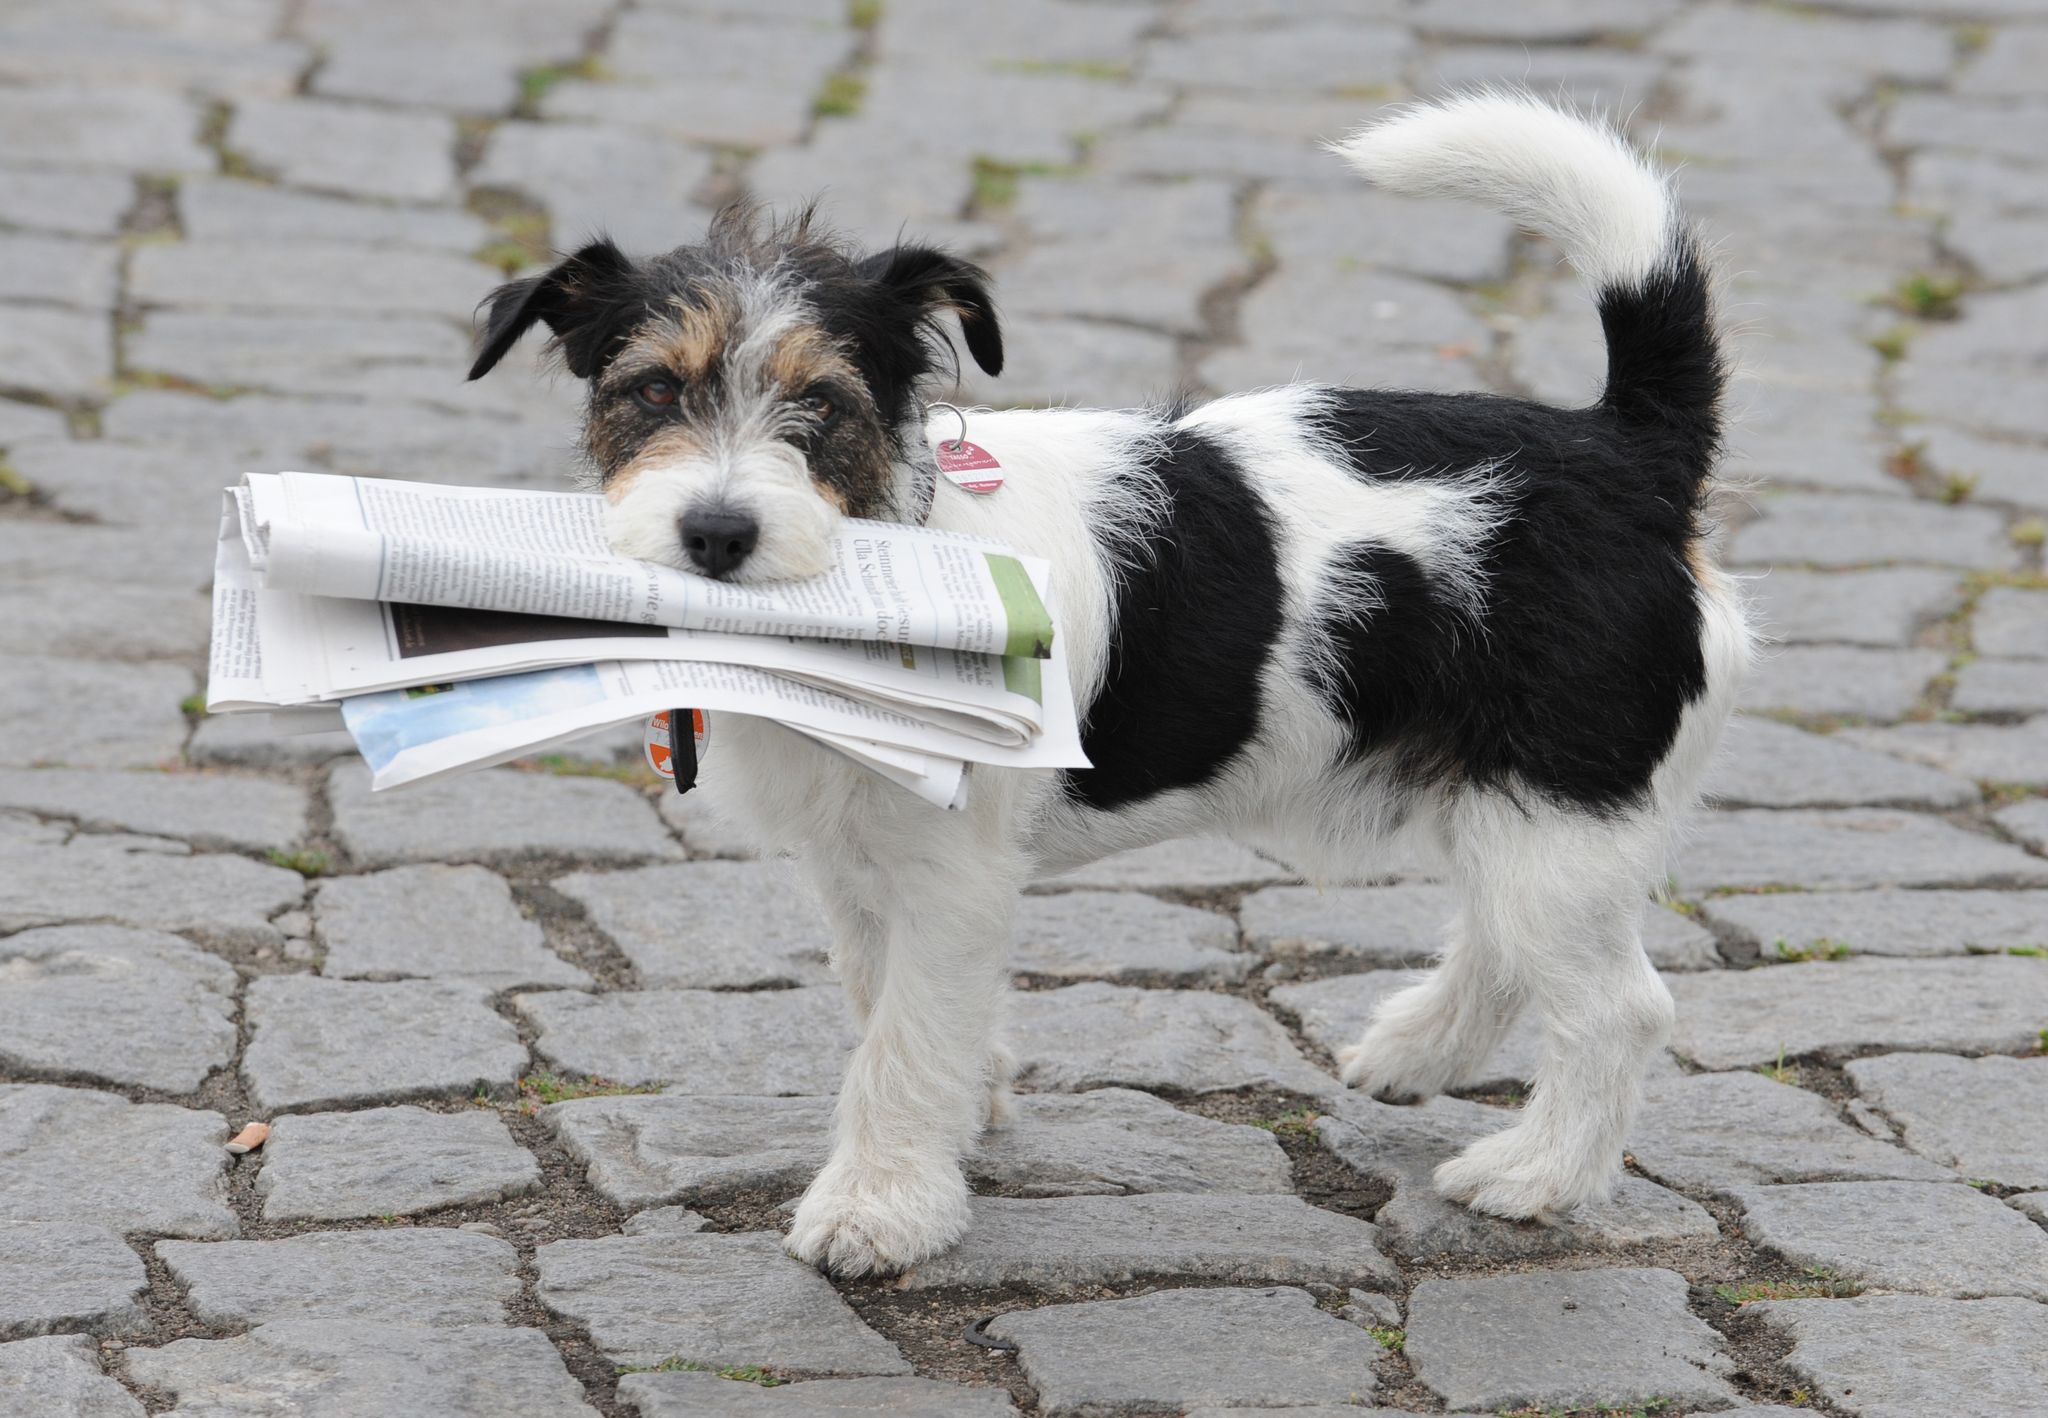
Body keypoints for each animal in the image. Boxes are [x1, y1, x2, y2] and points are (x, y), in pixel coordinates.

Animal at [471, 94, 1753, 1278]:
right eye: (649, 391)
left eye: (820, 403)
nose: (717, 531)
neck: (887, 545)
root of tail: (1624, 451)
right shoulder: (855, 858)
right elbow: (885, 998)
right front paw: (961, 1110)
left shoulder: (949, 873)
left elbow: (901, 1042)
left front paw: (880, 1207)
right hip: (1510, 802)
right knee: (1506, 941)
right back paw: (1417, 1051)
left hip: (1559, 800)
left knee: (1616, 1006)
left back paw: (1533, 1175)